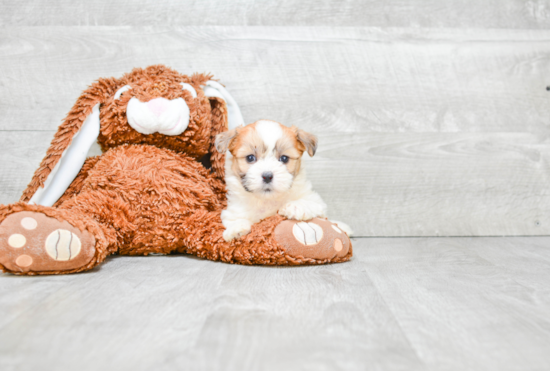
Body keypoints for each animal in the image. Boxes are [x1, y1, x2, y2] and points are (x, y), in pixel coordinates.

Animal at [216, 119, 354, 241]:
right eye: (250, 158)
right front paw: (236, 229)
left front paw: (295, 206)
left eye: (284, 158)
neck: (268, 200)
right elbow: (235, 218)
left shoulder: (316, 201)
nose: (267, 176)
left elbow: (310, 203)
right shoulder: (233, 211)